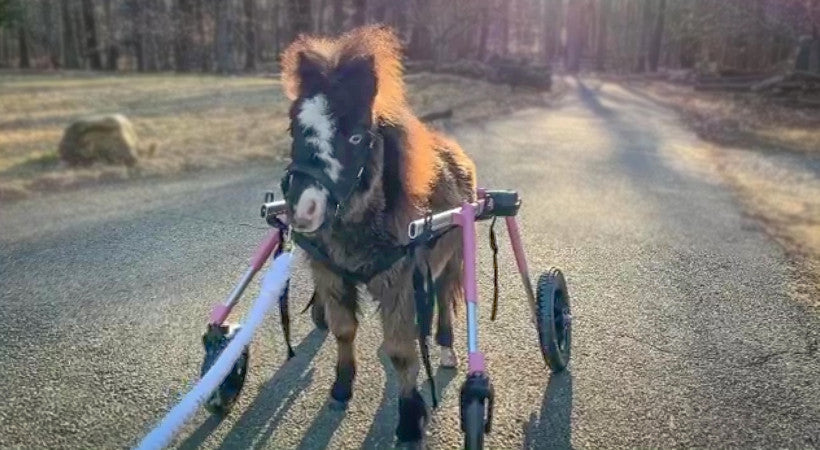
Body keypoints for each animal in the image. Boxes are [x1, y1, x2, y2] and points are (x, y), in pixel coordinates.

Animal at [279, 26, 476, 444]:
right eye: (294, 129)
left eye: (356, 137)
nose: (303, 209)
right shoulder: (332, 276)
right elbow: (343, 331)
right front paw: (341, 389)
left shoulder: (399, 281)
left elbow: (402, 351)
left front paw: (410, 418)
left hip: (453, 258)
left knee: (443, 297)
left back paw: (446, 350)